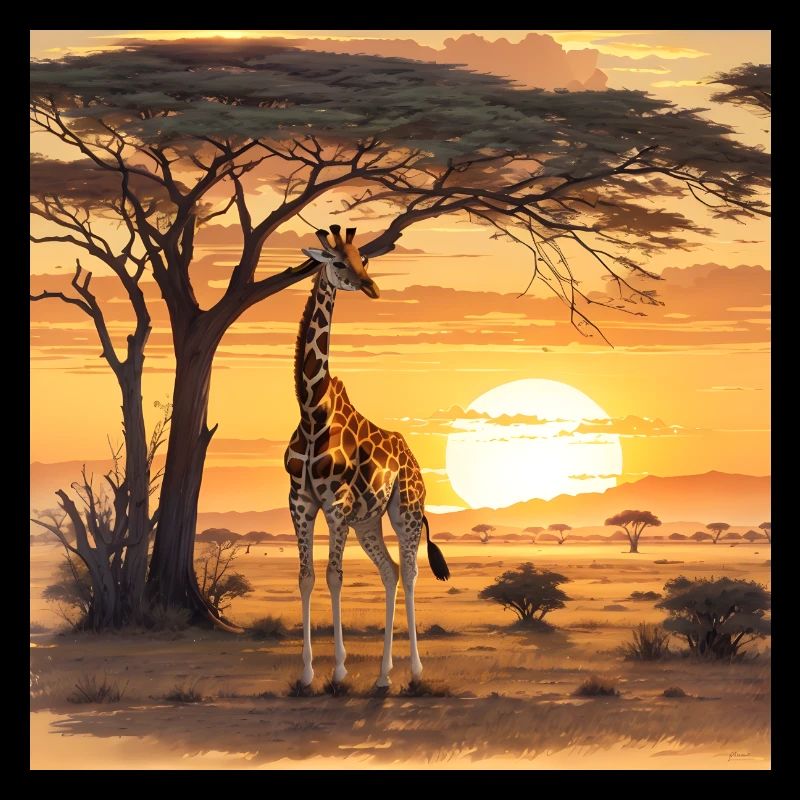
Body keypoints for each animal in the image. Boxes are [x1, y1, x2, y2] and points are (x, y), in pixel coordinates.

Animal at [283, 224, 450, 689]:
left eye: (364, 260)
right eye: (339, 262)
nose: (372, 287)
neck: (312, 411)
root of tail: (414, 462)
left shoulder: (336, 504)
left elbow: (334, 576)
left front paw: (338, 671)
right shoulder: (301, 502)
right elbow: (306, 577)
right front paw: (306, 674)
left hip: (405, 510)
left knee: (409, 573)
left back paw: (414, 671)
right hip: (368, 522)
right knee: (389, 571)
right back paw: (382, 675)